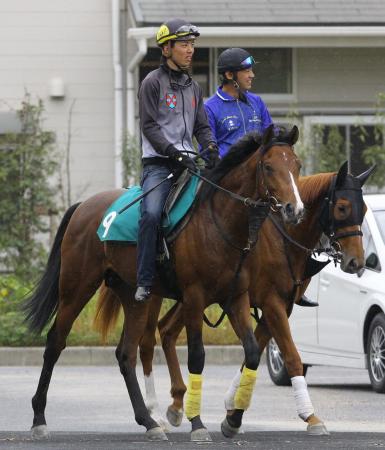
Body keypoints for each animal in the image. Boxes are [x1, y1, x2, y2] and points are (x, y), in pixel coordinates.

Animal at [24, 125, 304, 442]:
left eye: (297, 165)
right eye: (268, 167)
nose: (295, 209)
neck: (218, 221)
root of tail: (84, 205)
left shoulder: (236, 297)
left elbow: (253, 353)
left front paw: (233, 421)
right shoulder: (195, 298)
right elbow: (196, 356)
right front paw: (197, 423)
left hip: (133, 296)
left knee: (125, 354)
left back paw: (149, 421)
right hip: (76, 287)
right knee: (55, 342)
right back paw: (39, 418)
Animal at [94, 161, 374, 436]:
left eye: (363, 209)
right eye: (342, 207)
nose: (356, 262)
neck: (280, 238)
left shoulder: (277, 306)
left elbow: (254, 352)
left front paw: (232, 407)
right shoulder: (271, 304)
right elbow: (291, 356)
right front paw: (310, 416)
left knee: (167, 331)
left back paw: (176, 404)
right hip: (153, 296)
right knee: (147, 343)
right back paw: (154, 413)